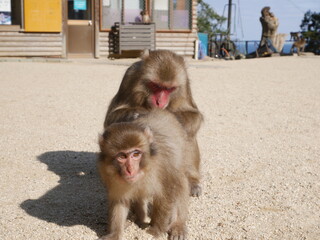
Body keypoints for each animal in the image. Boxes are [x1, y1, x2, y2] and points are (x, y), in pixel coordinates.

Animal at [97, 109, 190, 239]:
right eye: (122, 156)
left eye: (136, 154)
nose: (130, 169)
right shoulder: (111, 176)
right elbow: (120, 201)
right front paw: (115, 234)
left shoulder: (164, 167)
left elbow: (166, 195)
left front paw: (156, 230)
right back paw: (140, 219)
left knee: (180, 182)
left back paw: (178, 225)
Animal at [104, 49, 202, 197]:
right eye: (155, 86)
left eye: (169, 89)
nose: (159, 102)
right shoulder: (129, 76)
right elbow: (110, 118)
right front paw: (136, 114)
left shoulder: (185, 84)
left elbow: (195, 116)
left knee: (188, 134)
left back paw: (192, 180)